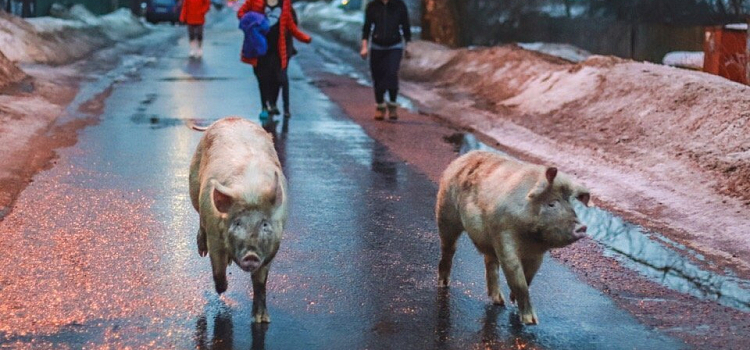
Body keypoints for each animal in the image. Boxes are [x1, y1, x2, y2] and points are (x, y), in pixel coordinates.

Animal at [189, 117, 290, 322]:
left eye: (264, 224)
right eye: (237, 223)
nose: (251, 255)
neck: (250, 191)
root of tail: (229, 118)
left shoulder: (271, 248)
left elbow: (260, 284)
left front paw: (261, 320)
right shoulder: (215, 236)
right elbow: (218, 270)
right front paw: (222, 290)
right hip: (194, 187)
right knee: (199, 218)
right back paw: (202, 251)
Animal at [438, 150, 592, 326]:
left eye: (571, 206)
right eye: (552, 203)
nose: (582, 227)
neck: (530, 239)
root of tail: (463, 158)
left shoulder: (537, 255)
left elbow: (529, 277)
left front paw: (512, 300)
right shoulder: (504, 237)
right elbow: (518, 279)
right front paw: (531, 322)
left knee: (490, 262)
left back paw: (499, 301)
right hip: (446, 214)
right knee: (449, 249)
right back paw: (443, 284)